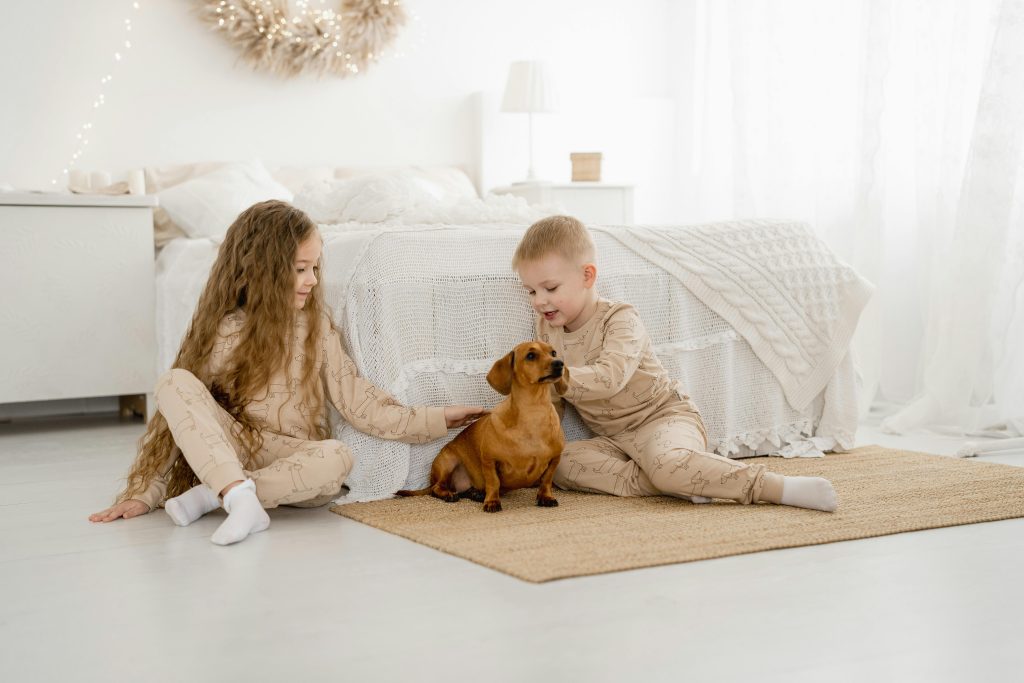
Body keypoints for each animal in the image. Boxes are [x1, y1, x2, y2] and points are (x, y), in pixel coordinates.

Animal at [395, 342, 569, 511]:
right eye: (530, 356)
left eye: (553, 352)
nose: (559, 363)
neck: (534, 413)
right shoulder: (489, 461)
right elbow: (493, 483)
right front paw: (492, 501)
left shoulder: (555, 459)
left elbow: (546, 481)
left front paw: (546, 497)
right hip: (448, 461)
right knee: (436, 488)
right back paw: (449, 494)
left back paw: (476, 493)